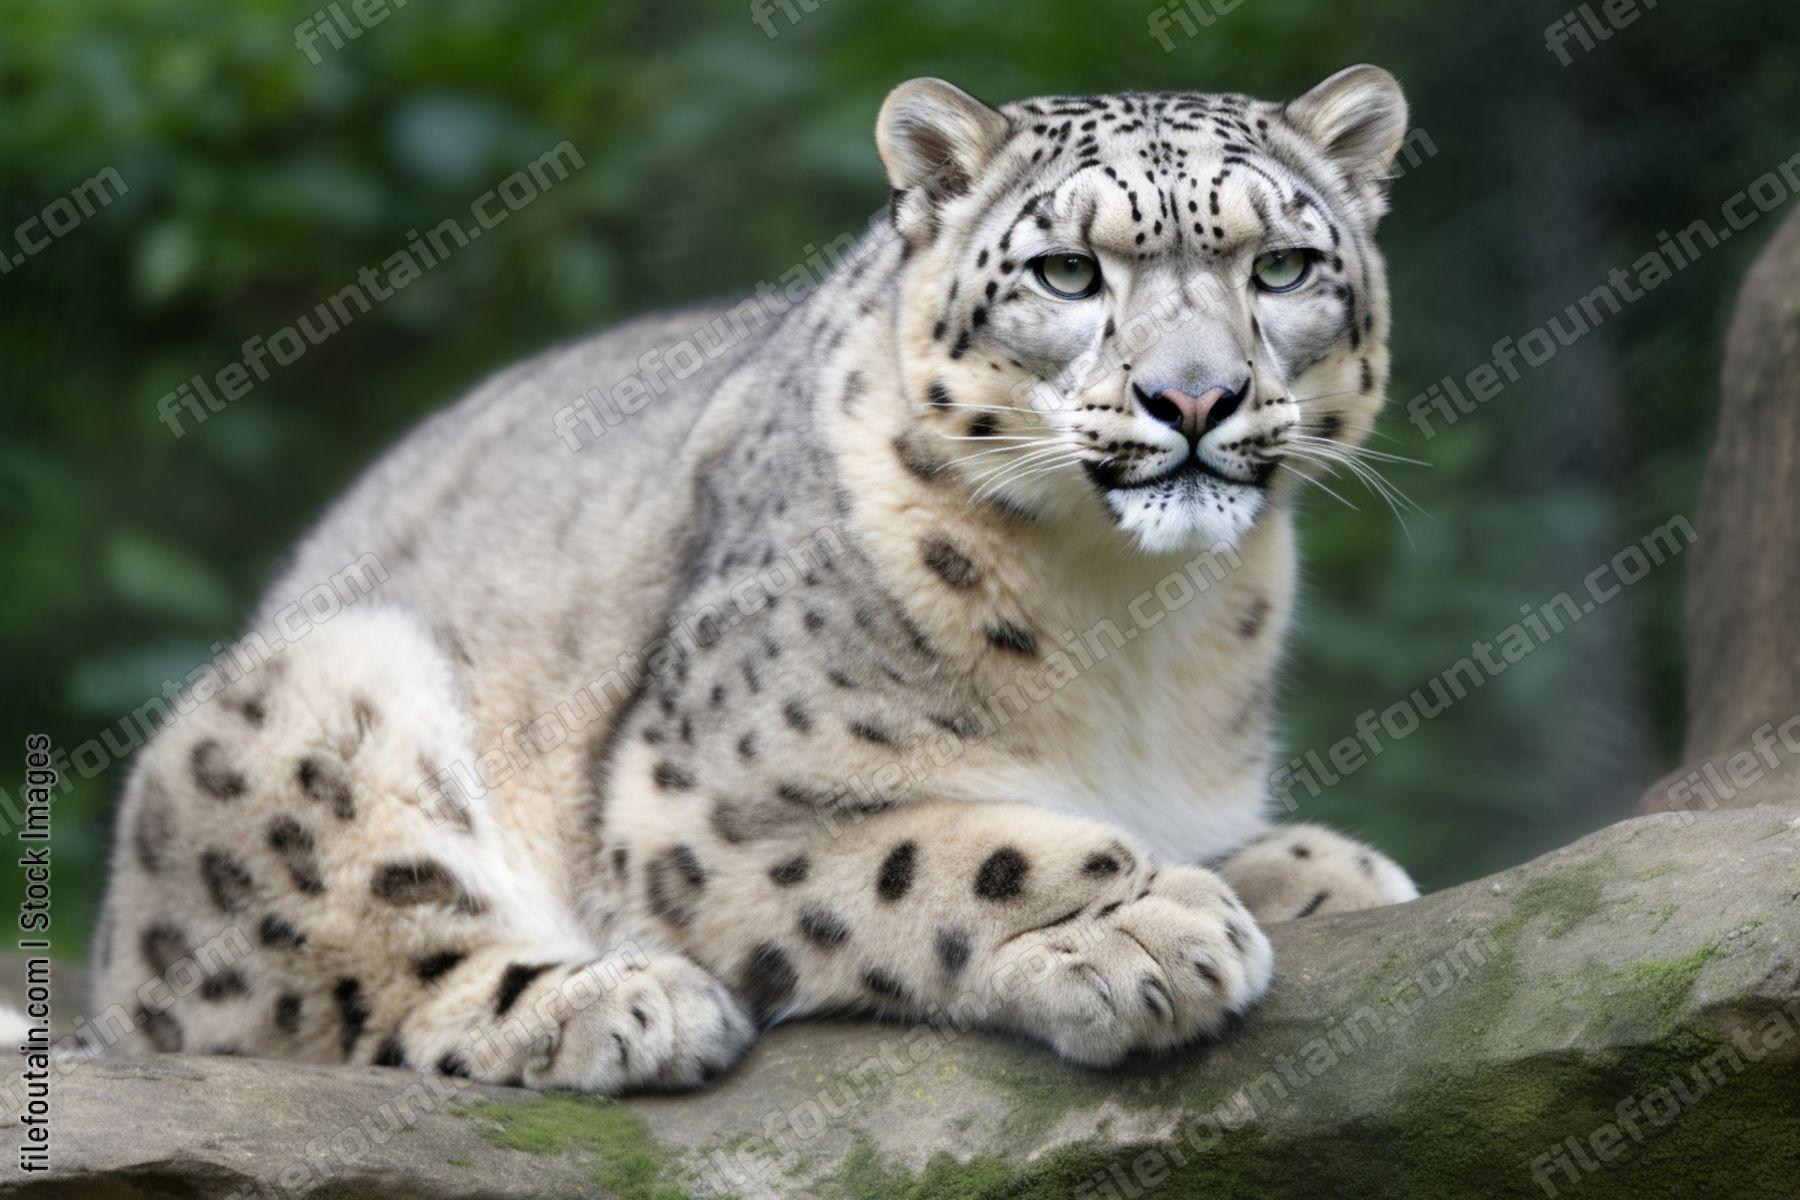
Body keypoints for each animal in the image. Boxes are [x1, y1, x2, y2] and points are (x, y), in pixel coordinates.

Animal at [89, 65, 1420, 1093]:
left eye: (1284, 266)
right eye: (1066, 274)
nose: (1194, 398)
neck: (1133, 622)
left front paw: (1324, 869)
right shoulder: (694, 808)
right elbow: (948, 851)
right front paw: (1143, 926)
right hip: (324, 688)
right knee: (314, 990)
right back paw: (620, 1003)